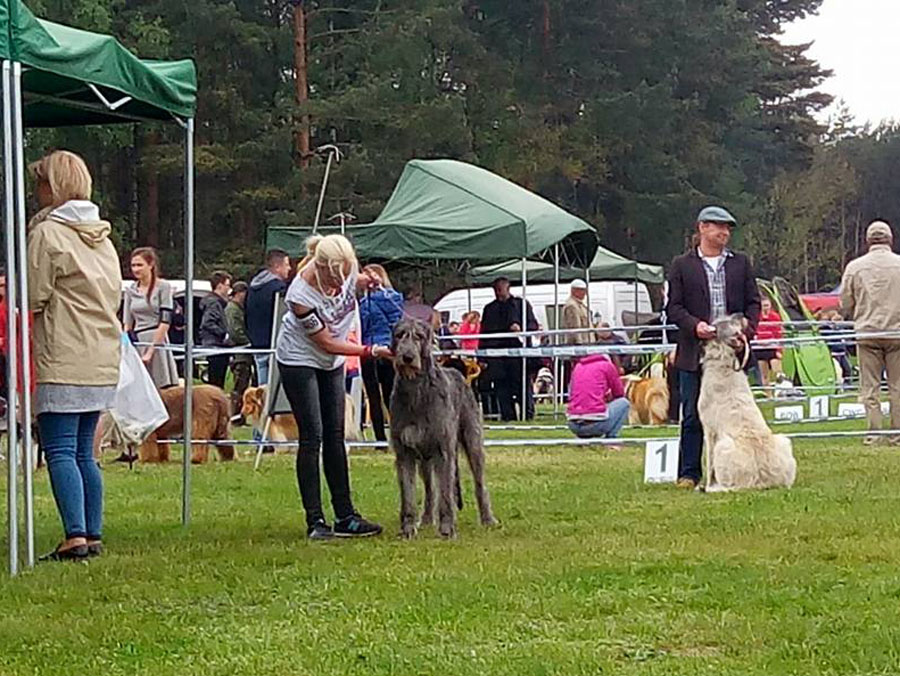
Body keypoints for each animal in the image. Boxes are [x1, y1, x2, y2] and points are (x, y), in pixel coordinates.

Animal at [700, 316, 800, 492]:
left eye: (715, 323)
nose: (741, 315)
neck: (723, 363)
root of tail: (763, 481)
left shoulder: (709, 429)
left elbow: (709, 462)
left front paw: (707, 485)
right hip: (784, 441)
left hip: (723, 447)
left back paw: (713, 488)